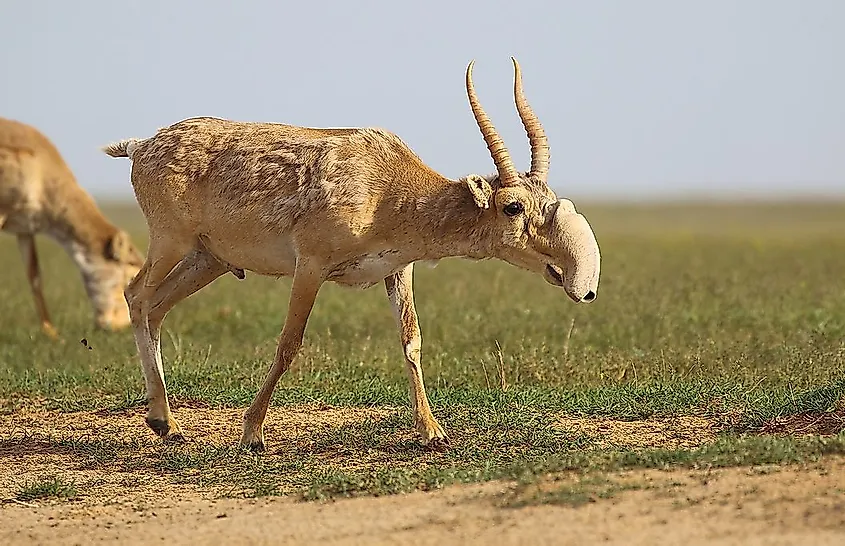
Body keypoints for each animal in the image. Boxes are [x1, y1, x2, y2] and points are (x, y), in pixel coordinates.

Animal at [0, 117, 145, 334]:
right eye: (129, 272)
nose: (119, 326)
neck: (41, 170)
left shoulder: (25, 229)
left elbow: (35, 276)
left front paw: (51, 333)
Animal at [102, 57, 596, 448]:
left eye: (548, 198)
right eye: (513, 206)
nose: (573, 277)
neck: (388, 187)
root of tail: (141, 146)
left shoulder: (399, 270)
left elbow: (411, 341)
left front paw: (433, 432)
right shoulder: (310, 267)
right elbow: (289, 343)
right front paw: (252, 433)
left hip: (208, 261)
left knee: (156, 308)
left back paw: (166, 423)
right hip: (171, 243)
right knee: (136, 296)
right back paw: (164, 419)